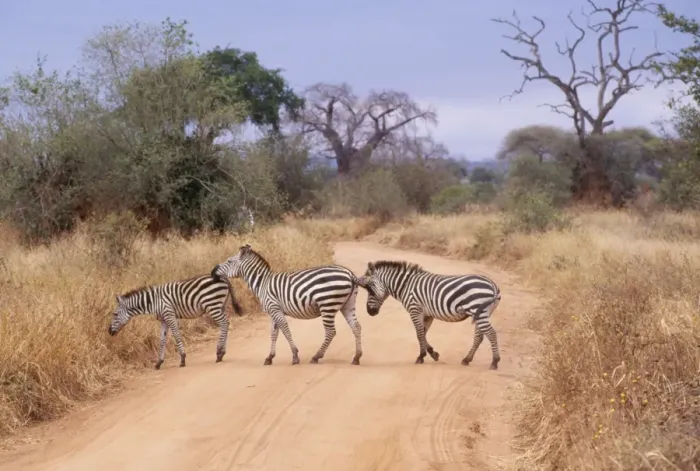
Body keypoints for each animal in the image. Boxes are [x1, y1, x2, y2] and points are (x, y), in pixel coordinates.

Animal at [108, 274, 244, 370]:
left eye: (115, 314)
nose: (109, 331)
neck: (154, 302)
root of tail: (222, 277)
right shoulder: (163, 320)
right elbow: (162, 340)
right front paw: (159, 363)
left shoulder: (170, 316)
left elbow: (177, 336)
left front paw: (182, 359)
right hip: (220, 306)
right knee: (225, 324)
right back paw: (221, 353)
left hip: (212, 305)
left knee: (225, 323)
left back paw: (219, 353)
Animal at [210, 244, 363, 366]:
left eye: (229, 261)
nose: (212, 271)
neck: (262, 284)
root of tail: (349, 273)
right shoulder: (272, 312)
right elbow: (274, 334)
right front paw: (269, 357)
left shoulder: (275, 309)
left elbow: (286, 331)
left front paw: (295, 356)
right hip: (347, 304)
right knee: (356, 327)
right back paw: (356, 357)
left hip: (327, 305)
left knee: (331, 331)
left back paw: (316, 356)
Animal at [356, 260, 502, 369]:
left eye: (370, 290)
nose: (370, 312)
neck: (405, 285)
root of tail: (493, 285)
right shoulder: (427, 314)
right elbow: (423, 333)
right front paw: (433, 354)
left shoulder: (415, 309)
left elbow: (419, 333)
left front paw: (421, 356)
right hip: (481, 313)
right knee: (479, 336)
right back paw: (467, 359)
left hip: (478, 309)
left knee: (491, 333)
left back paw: (494, 362)